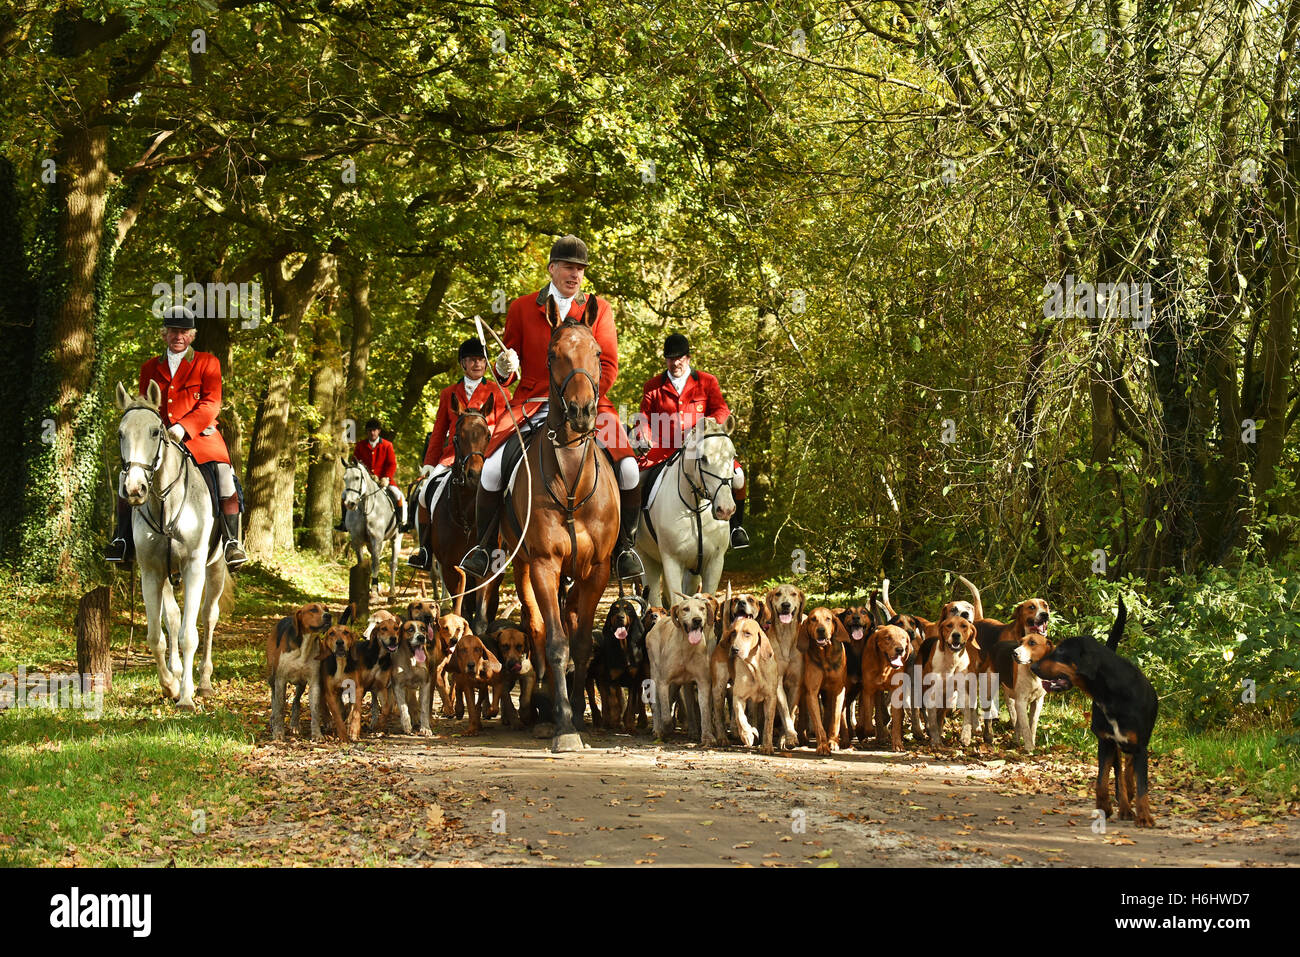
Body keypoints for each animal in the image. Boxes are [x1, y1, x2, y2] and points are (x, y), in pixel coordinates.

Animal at [115, 382, 231, 712]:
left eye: (156, 432)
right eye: (121, 433)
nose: (134, 489)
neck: (164, 501)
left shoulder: (193, 568)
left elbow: (189, 636)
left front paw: (187, 696)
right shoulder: (151, 572)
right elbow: (158, 635)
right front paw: (170, 684)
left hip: (215, 569)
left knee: (208, 616)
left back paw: (203, 682)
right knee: (174, 618)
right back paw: (178, 675)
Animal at [343, 457, 403, 598]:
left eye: (357, 477)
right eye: (344, 478)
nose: (349, 503)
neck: (366, 507)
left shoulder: (377, 539)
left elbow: (376, 564)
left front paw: (374, 591)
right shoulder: (357, 540)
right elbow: (362, 563)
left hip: (396, 539)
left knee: (393, 564)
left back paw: (392, 593)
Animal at [504, 299, 621, 754]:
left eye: (597, 353)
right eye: (554, 355)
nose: (582, 412)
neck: (571, 475)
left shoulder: (598, 571)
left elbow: (582, 642)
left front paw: (578, 716)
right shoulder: (544, 564)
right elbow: (554, 642)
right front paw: (564, 726)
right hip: (523, 567)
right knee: (537, 627)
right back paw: (542, 708)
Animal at [634, 418, 738, 605]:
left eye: (733, 456)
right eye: (703, 458)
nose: (725, 509)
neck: (696, 510)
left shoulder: (713, 563)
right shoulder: (672, 562)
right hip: (646, 558)